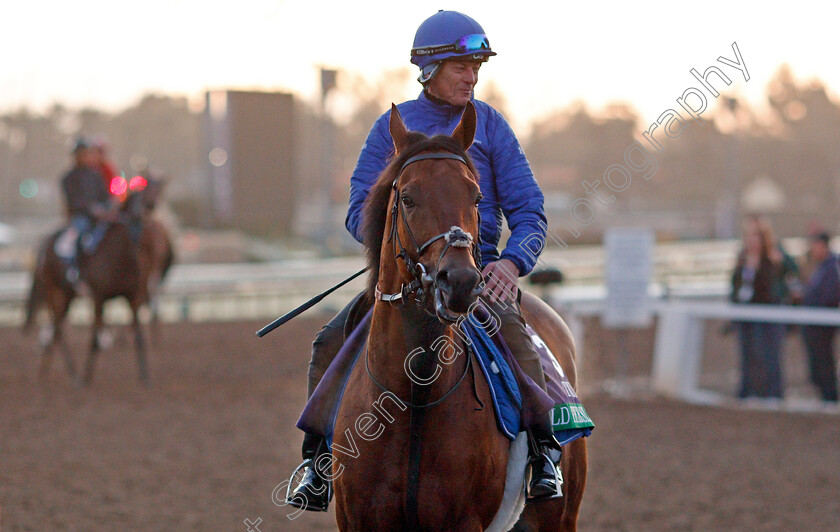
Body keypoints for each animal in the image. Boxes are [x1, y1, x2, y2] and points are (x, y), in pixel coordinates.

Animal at [23, 179, 174, 386]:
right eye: (143, 190)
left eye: (159, 192)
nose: (150, 210)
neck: (120, 254)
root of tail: (45, 244)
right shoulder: (98, 297)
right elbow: (94, 339)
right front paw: (87, 377)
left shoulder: (133, 297)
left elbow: (138, 336)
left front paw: (145, 377)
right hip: (55, 292)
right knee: (58, 329)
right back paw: (72, 373)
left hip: (67, 295)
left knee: (56, 328)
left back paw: (48, 372)